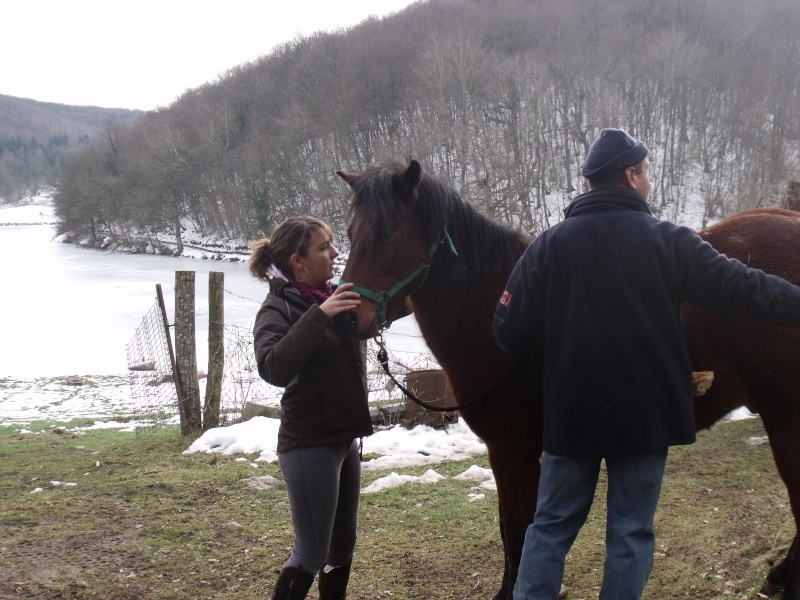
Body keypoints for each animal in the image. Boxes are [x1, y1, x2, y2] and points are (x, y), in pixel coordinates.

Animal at [336, 159, 800, 600]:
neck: (493, 307)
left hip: (785, 421)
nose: (346, 316)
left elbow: (516, 530)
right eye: (350, 233)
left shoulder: (512, 449)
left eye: (388, 234)